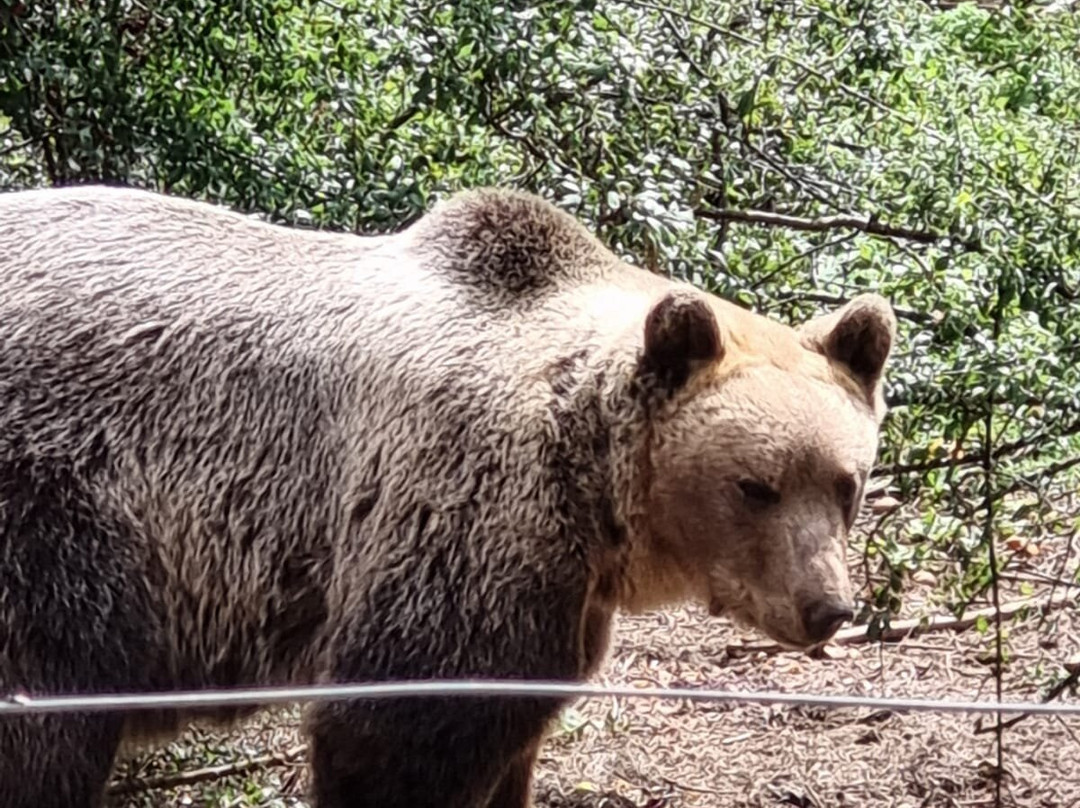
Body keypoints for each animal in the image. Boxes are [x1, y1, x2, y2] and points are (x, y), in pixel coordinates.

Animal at [0, 184, 896, 808]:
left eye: (846, 484)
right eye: (755, 487)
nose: (826, 608)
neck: (594, 500)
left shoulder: (560, 595)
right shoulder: (461, 515)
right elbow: (407, 730)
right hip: (61, 519)